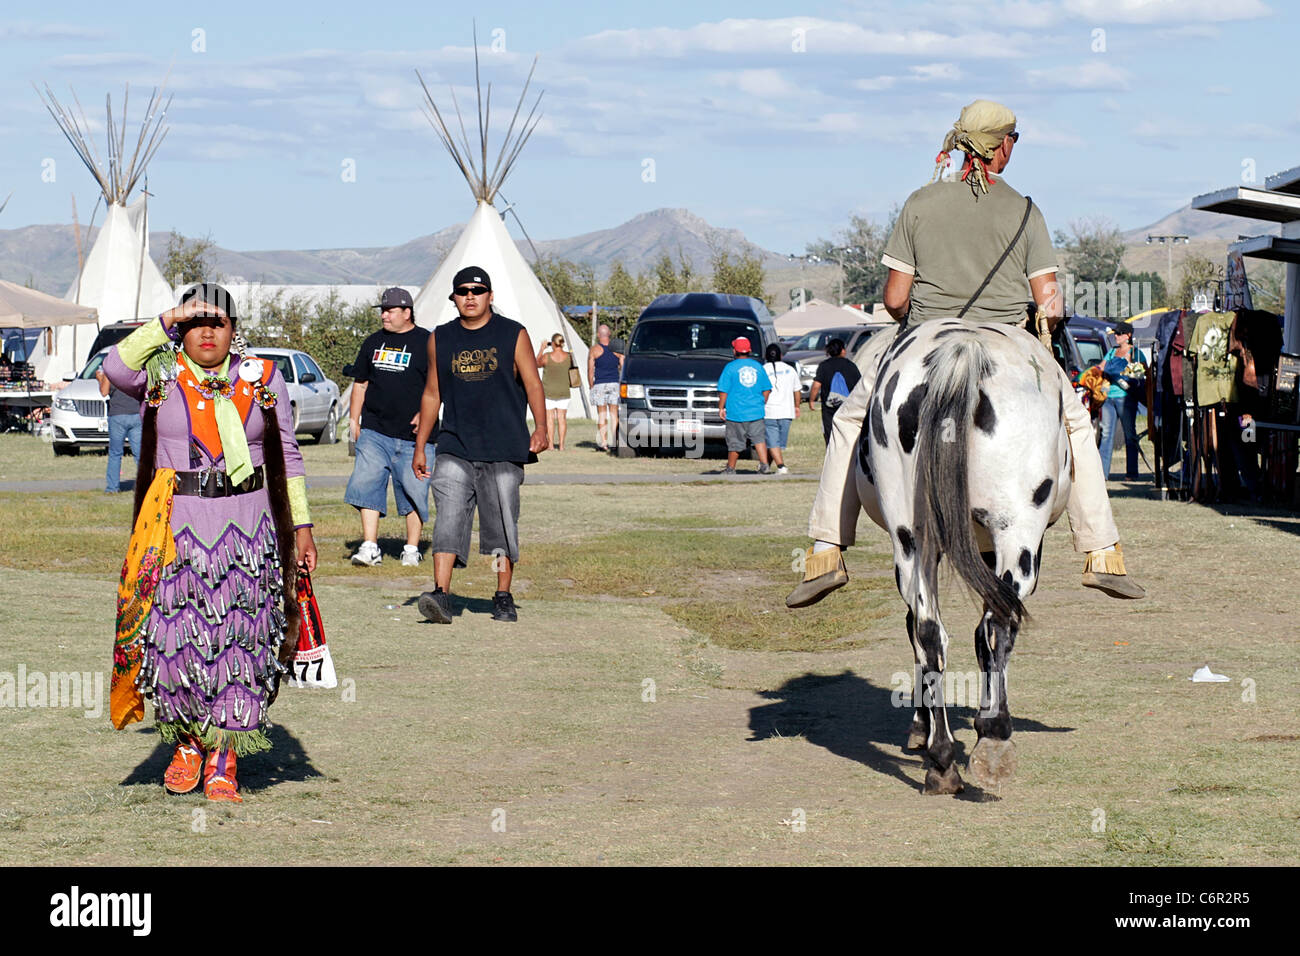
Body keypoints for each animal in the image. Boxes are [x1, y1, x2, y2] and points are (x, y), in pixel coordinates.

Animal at [857, 317, 1071, 796]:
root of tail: (964, 348)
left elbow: (923, 632)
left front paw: (924, 727)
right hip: (1018, 535)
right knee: (997, 623)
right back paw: (993, 736)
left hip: (912, 540)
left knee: (930, 631)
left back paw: (942, 760)